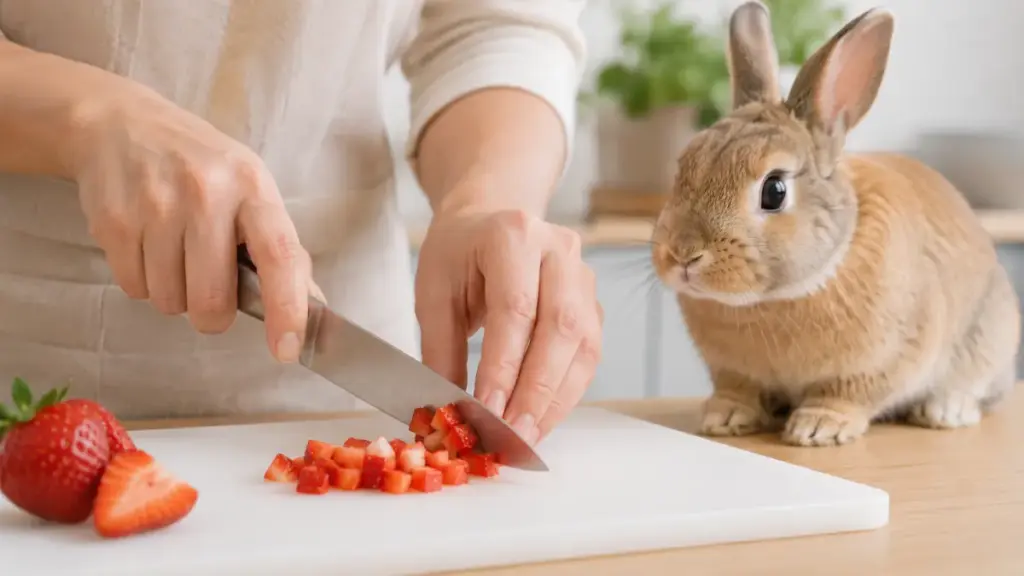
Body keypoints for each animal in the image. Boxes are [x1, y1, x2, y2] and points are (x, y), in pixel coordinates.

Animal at [650, 1, 1021, 447]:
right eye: (683, 166)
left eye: (774, 191)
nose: (682, 254)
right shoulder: (733, 372)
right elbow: (738, 391)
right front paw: (724, 418)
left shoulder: (879, 362)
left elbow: (846, 394)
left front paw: (818, 427)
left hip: (990, 336)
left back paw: (945, 411)